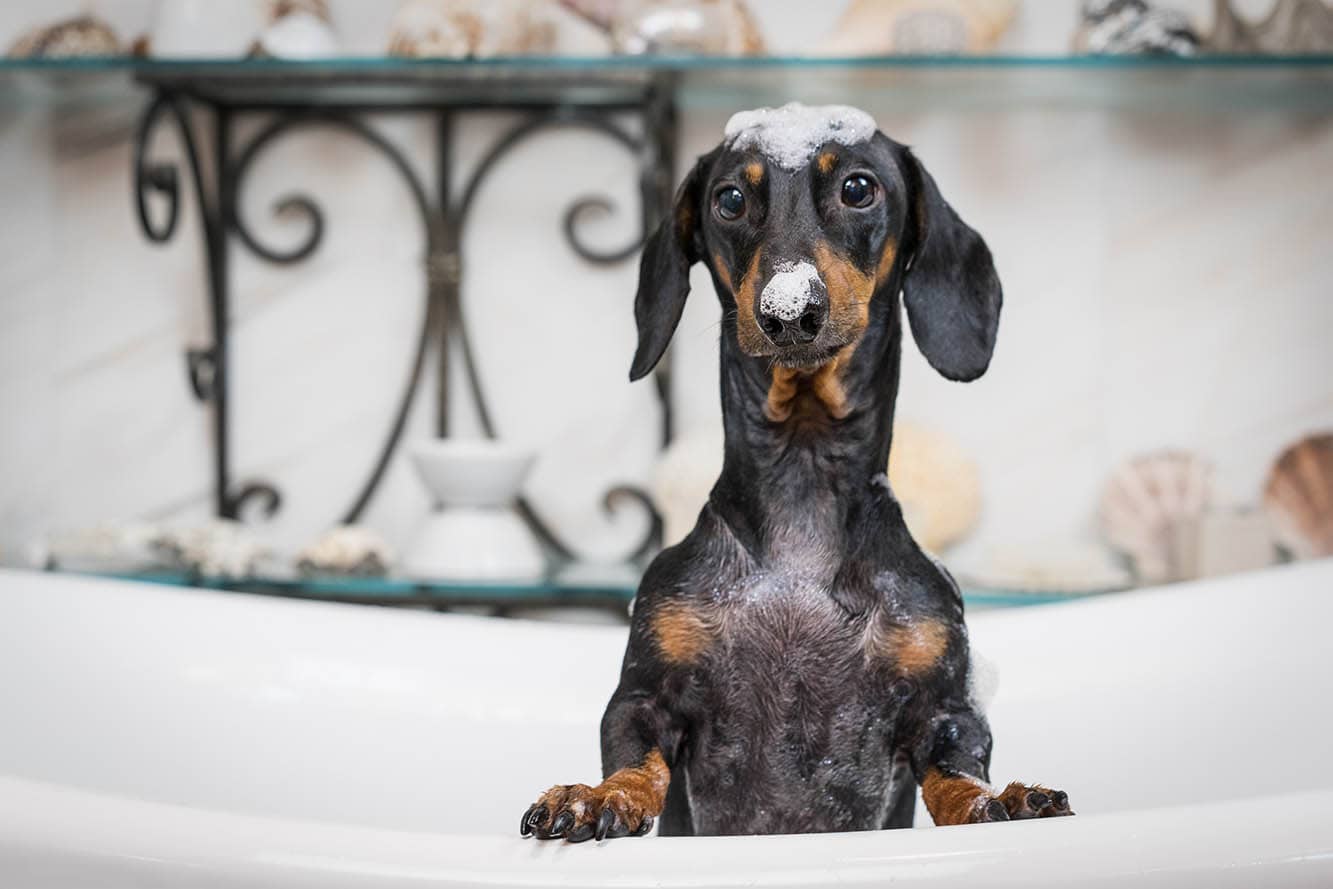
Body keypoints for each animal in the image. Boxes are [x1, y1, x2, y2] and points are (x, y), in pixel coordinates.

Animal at [519, 104, 1071, 842]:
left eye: (858, 188)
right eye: (728, 200)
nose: (789, 313)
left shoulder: (944, 709)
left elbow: (957, 771)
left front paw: (998, 800)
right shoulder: (644, 694)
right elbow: (633, 756)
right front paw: (596, 796)